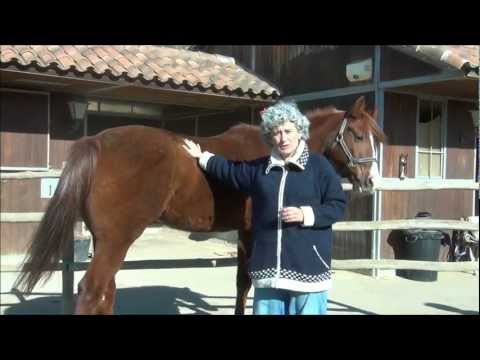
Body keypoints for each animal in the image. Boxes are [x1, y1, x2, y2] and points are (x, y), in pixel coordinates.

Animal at [13, 96, 386, 316]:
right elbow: (250, 282)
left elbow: (241, 282)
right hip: (117, 239)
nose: (371, 181)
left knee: (106, 291)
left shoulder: (243, 233)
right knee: (92, 291)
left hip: (107, 240)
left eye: (374, 136)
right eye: (355, 134)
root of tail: (97, 141)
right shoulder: (253, 232)